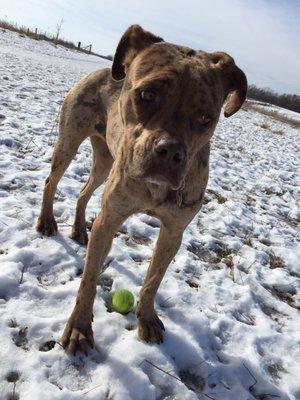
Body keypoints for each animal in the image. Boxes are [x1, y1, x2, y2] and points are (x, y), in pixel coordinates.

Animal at [36, 25, 247, 354]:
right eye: (147, 94)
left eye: (206, 118)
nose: (170, 152)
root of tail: (102, 70)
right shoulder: (110, 218)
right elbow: (89, 280)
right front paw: (80, 328)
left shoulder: (173, 231)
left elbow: (153, 280)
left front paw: (146, 320)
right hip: (69, 140)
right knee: (52, 181)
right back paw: (47, 221)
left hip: (105, 160)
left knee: (85, 191)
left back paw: (80, 230)